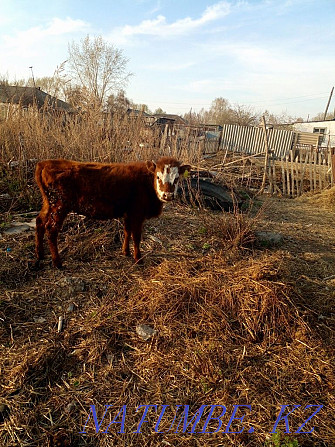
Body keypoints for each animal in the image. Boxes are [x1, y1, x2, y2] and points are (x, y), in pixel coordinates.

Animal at [34, 158, 192, 270]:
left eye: (176, 178)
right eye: (158, 177)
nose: (167, 195)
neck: (146, 181)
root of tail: (45, 163)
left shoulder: (128, 213)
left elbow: (127, 231)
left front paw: (125, 252)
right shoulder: (137, 214)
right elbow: (136, 237)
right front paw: (138, 258)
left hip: (49, 204)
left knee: (39, 222)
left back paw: (40, 255)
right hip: (59, 206)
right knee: (51, 229)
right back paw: (57, 262)